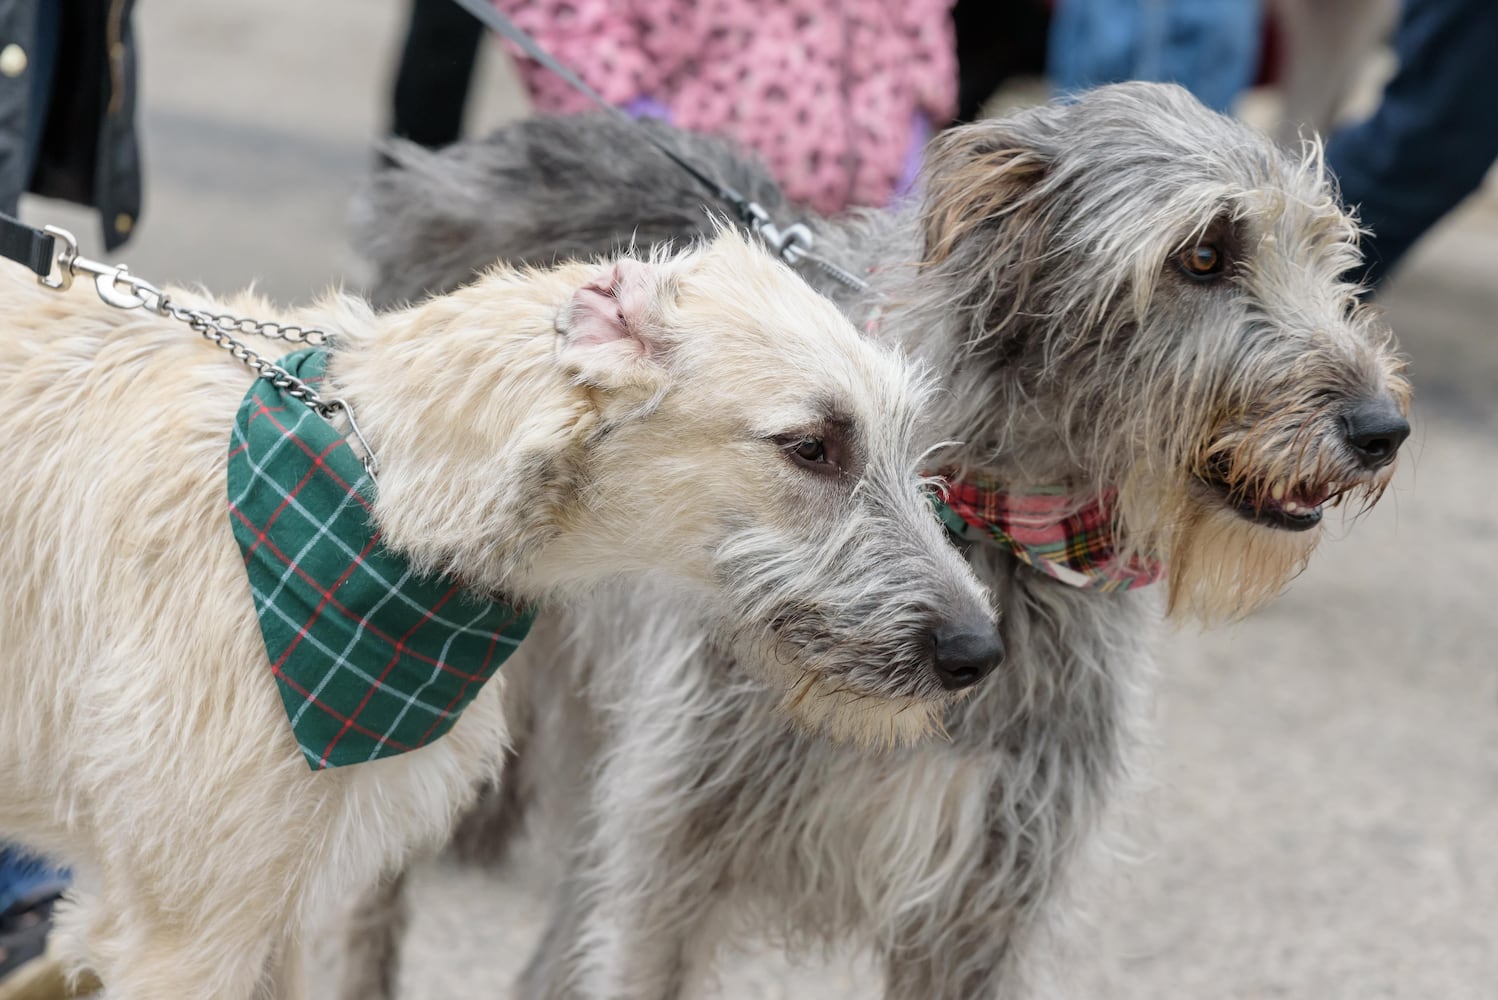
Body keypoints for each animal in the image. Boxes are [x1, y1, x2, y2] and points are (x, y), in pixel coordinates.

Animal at [2, 230, 1006, 994]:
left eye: (914, 448)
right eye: (811, 446)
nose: (979, 652)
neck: (379, 496)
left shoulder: (270, 907)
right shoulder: (186, 931)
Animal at [340, 81, 1402, 994]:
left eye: (1329, 253)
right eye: (1203, 254)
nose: (1381, 428)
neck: (984, 529)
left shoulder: (988, 902)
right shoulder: (676, 855)